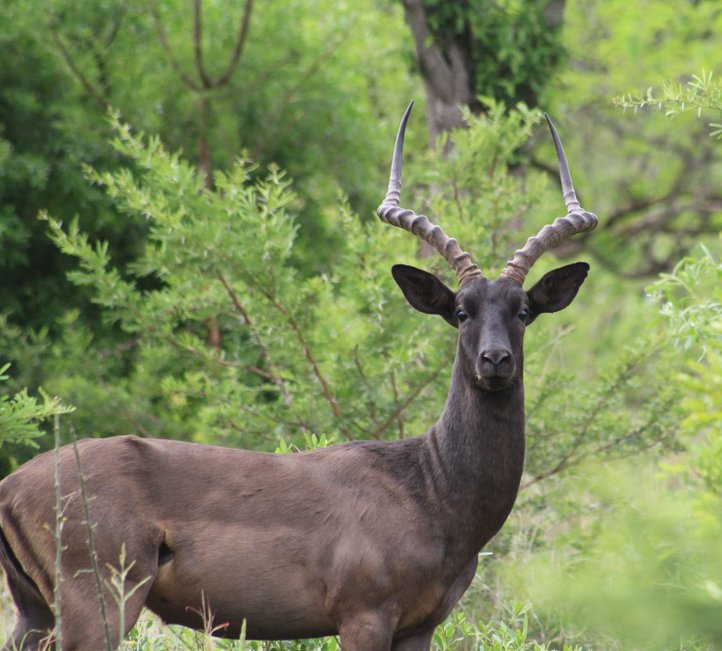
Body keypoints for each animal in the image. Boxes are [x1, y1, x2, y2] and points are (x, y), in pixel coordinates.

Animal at [0, 103, 597, 651]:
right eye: (461, 310)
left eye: (524, 310)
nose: (495, 361)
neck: (430, 486)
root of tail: (11, 486)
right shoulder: (363, 619)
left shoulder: (418, 628)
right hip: (100, 608)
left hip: (37, 613)